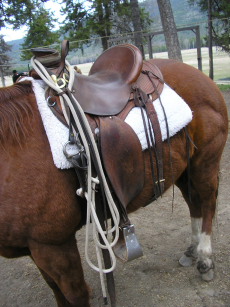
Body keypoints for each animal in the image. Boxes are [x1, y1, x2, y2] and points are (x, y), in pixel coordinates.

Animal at [0, 59, 228, 306]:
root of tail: (202, 77)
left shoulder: (54, 245)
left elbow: (76, 294)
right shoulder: (36, 249)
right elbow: (57, 292)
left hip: (204, 163)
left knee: (207, 203)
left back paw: (205, 260)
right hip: (185, 169)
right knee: (194, 204)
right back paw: (192, 251)